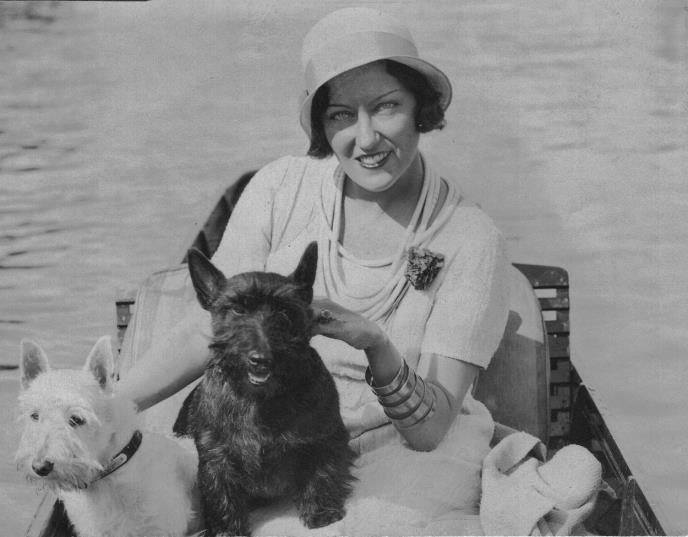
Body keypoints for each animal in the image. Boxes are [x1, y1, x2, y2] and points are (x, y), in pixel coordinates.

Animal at [173, 242, 356, 536]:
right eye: (236, 309)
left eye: (284, 310)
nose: (261, 358)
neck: (260, 400)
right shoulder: (217, 456)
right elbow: (222, 495)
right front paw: (227, 531)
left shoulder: (325, 439)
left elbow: (322, 473)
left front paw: (321, 512)